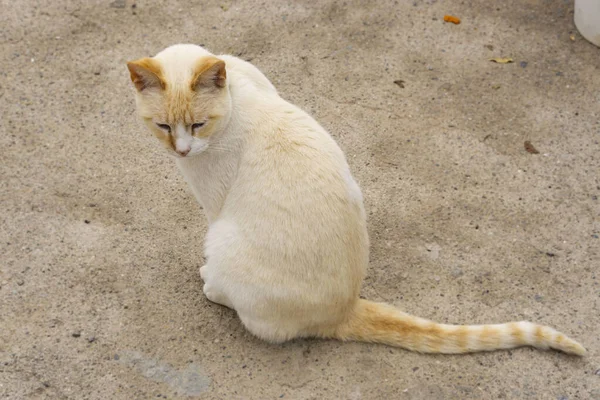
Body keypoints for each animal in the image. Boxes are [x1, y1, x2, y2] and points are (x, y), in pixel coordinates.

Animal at [126, 43, 584, 354]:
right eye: (163, 126)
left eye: (198, 125)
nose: (182, 151)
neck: (237, 98)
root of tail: (345, 309)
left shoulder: (213, 205)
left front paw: (208, 278)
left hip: (223, 238)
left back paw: (212, 284)